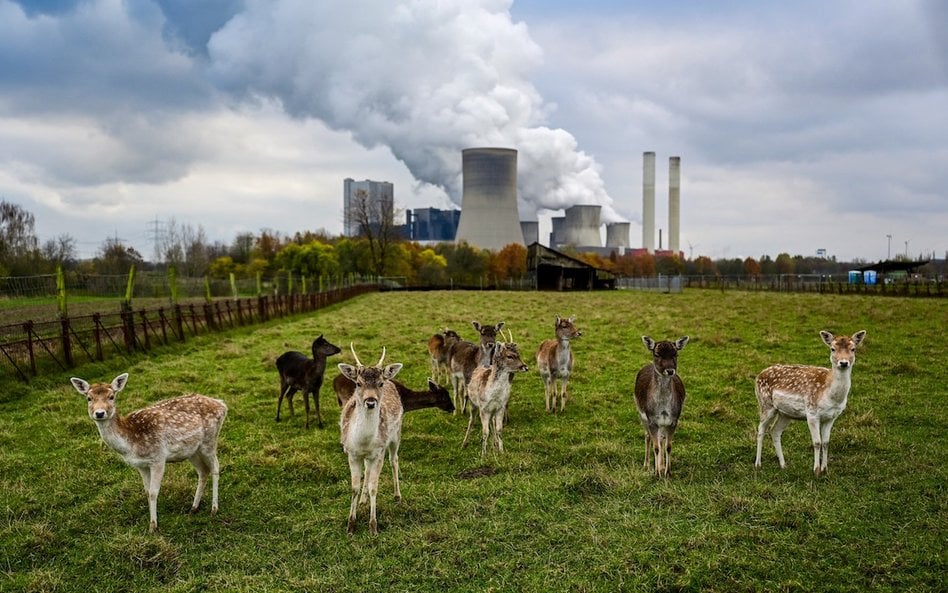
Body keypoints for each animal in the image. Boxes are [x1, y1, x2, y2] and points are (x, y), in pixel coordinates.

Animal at [68, 370, 228, 532]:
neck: (131, 444)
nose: (100, 413)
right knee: (203, 471)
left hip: (209, 440)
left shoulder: (158, 458)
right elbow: (146, 491)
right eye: (89, 398)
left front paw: (153, 527)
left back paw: (214, 509)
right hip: (192, 450)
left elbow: (153, 492)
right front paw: (152, 523)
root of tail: (222, 404)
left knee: (215, 467)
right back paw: (194, 507)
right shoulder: (141, 465)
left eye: (111, 396)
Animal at [336, 344, 404, 536]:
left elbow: (375, 487)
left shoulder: (378, 453)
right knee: (366, 471)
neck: (363, 442)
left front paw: (373, 527)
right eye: (358, 383)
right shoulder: (352, 454)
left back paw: (397, 495)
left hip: (396, 435)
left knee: (394, 460)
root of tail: (391, 379)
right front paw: (350, 525)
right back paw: (363, 501)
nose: (371, 402)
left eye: (379, 383)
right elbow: (354, 487)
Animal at [632, 338, 692, 476]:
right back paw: (647, 465)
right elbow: (656, 447)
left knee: (661, 439)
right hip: (641, 414)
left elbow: (668, 446)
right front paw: (657, 473)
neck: (663, 408)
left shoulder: (673, 420)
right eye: (657, 354)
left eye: (676, 353)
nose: (670, 371)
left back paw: (662, 465)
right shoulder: (652, 420)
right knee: (648, 436)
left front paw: (667, 472)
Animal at [756, 328, 868, 476]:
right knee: (761, 429)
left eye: (853, 349)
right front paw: (816, 471)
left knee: (775, 431)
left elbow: (826, 442)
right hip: (765, 404)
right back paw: (758, 464)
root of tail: (758, 376)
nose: (843, 363)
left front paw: (825, 470)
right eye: (832, 348)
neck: (831, 396)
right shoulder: (812, 413)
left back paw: (783, 465)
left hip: (785, 413)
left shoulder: (832, 417)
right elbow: (817, 442)